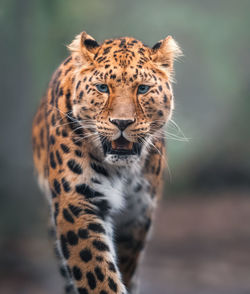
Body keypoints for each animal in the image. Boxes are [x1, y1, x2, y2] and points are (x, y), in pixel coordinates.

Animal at [31, 30, 182, 294]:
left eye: (142, 89)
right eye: (102, 88)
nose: (122, 122)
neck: (123, 170)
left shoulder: (137, 214)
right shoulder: (78, 201)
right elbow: (96, 272)